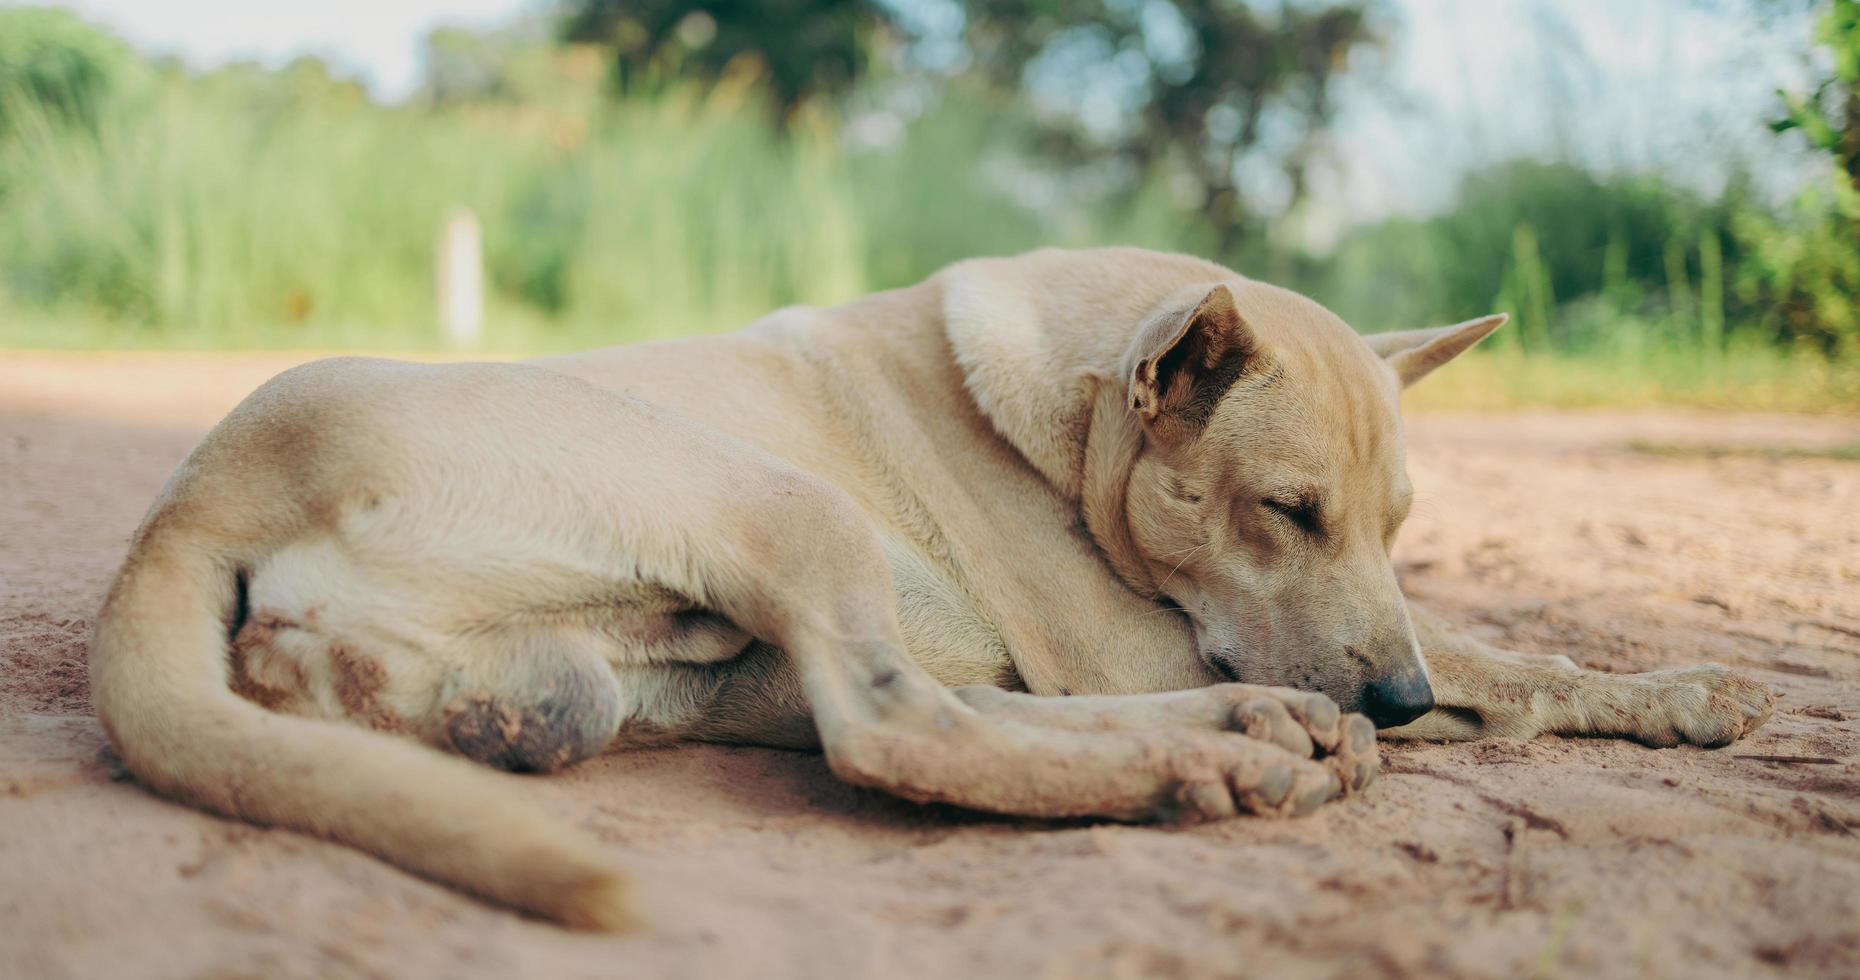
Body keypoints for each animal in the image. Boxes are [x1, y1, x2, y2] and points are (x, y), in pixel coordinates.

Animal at [87, 245, 1770, 929]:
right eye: (1287, 513)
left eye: (1397, 523)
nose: (1397, 701)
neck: (1072, 407)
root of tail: (195, 496)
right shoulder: (1128, 642)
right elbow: (1488, 657)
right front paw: (1629, 691)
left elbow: (1485, 644)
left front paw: (1662, 689)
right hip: (783, 504)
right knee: (900, 732)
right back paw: (1210, 759)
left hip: (685, 660)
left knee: (933, 710)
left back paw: (1241, 740)